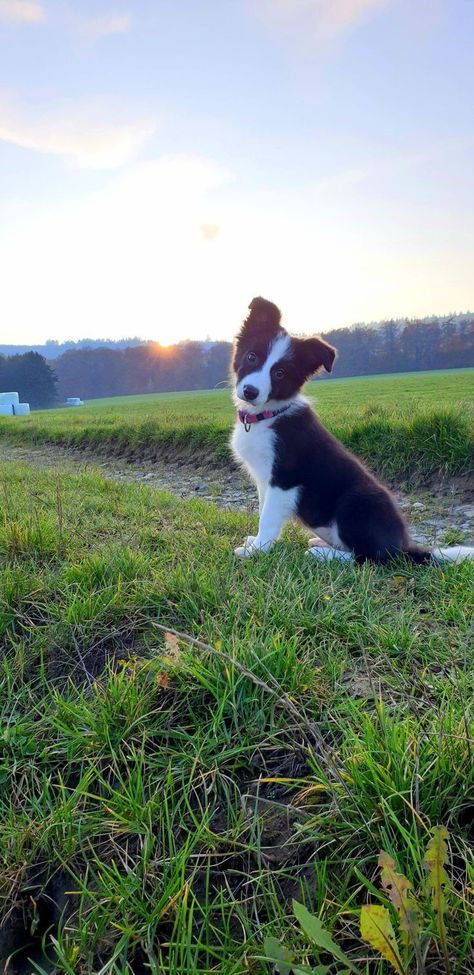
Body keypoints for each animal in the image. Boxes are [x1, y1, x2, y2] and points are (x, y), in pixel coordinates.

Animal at [232, 296, 474, 564]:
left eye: (280, 373)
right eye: (252, 357)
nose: (250, 391)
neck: (268, 416)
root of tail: (401, 547)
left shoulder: (285, 478)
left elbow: (268, 518)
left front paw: (256, 551)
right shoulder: (264, 479)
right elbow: (263, 510)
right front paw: (256, 543)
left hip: (354, 504)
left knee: (370, 558)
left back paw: (322, 553)